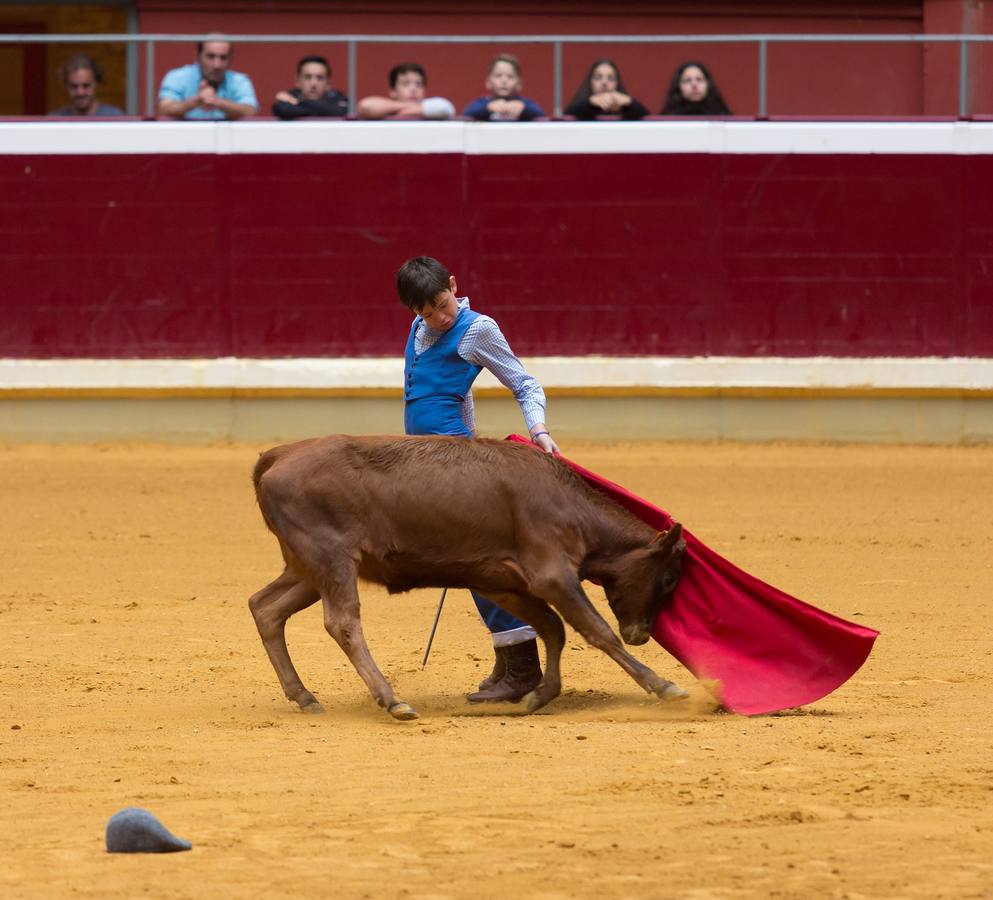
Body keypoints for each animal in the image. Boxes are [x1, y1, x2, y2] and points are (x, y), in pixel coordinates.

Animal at [248, 432, 684, 720]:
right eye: (668, 579)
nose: (641, 634)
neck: (571, 506)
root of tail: (278, 455)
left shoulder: (503, 584)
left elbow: (552, 629)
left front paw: (539, 695)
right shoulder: (553, 576)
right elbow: (596, 630)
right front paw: (663, 685)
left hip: (306, 568)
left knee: (265, 608)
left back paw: (304, 695)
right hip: (332, 559)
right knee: (341, 622)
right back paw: (392, 699)